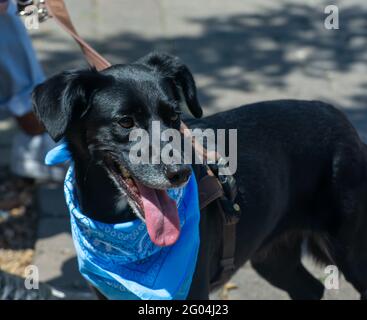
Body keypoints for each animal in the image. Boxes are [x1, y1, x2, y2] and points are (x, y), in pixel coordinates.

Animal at [31, 52, 367, 300]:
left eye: (174, 117)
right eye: (125, 122)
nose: (179, 172)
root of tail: (342, 119)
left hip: (351, 251)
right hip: (271, 255)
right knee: (310, 288)